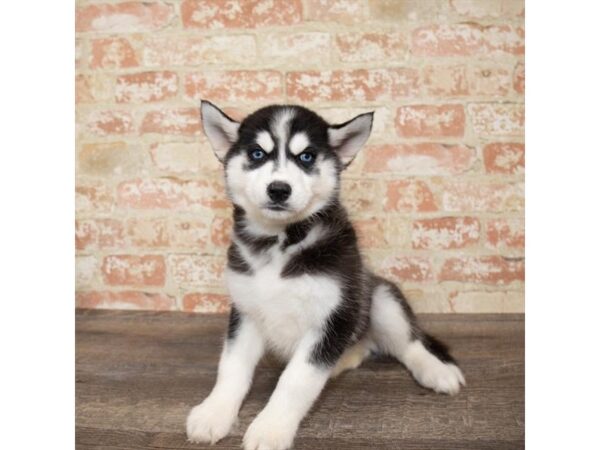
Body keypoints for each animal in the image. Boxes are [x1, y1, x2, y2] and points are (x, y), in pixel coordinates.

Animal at [185, 100, 466, 448]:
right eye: (257, 154)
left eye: (306, 157)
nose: (279, 189)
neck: (282, 240)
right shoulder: (246, 311)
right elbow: (232, 367)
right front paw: (214, 412)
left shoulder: (335, 317)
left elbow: (295, 380)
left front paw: (270, 428)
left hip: (380, 298)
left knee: (409, 343)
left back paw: (437, 371)